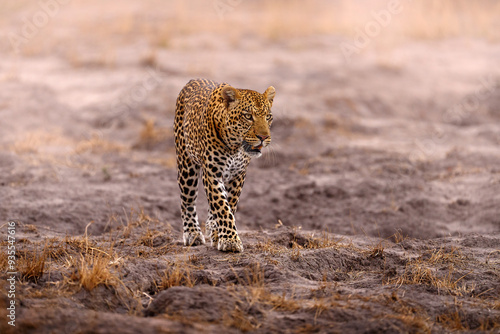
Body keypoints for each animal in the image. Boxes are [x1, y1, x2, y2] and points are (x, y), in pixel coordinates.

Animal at [172, 79, 274, 250]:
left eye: (268, 117)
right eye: (248, 116)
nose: (263, 137)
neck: (235, 147)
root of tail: (193, 80)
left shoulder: (238, 174)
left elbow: (229, 205)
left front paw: (219, 234)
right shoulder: (211, 173)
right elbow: (222, 207)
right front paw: (230, 241)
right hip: (186, 166)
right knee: (187, 201)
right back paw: (192, 233)